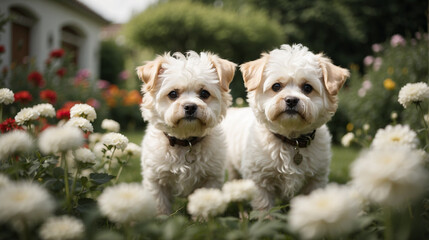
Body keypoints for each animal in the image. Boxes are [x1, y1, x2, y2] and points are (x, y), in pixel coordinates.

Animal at [137, 51, 236, 216]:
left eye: (204, 93)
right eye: (173, 94)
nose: (190, 106)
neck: (185, 142)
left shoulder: (211, 178)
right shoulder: (156, 180)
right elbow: (160, 206)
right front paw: (161, 219)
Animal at [222, 44, 350, 211]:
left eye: (307, 87)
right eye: (276, 86)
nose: (291, 100)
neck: (291, 141)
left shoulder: (315, 180)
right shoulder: (259, 181)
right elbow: (264, 210)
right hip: (233, 170)